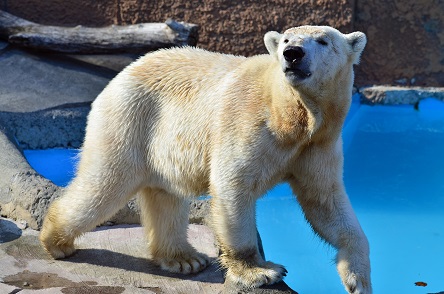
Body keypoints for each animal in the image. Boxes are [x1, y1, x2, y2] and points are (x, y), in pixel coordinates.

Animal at [40, 26, 372, 292]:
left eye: (323, 41)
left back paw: (183, 258)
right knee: (105, 185)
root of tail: (122, 73)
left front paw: (357, 279)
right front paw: (260, 271)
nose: (292, 54)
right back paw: (57, 241)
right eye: (287, 40)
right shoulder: (248, 123)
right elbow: (233, 187)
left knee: (165, 195)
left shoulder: (318, 145)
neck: (289, 115)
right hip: (129, 119)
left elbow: (325, 203)